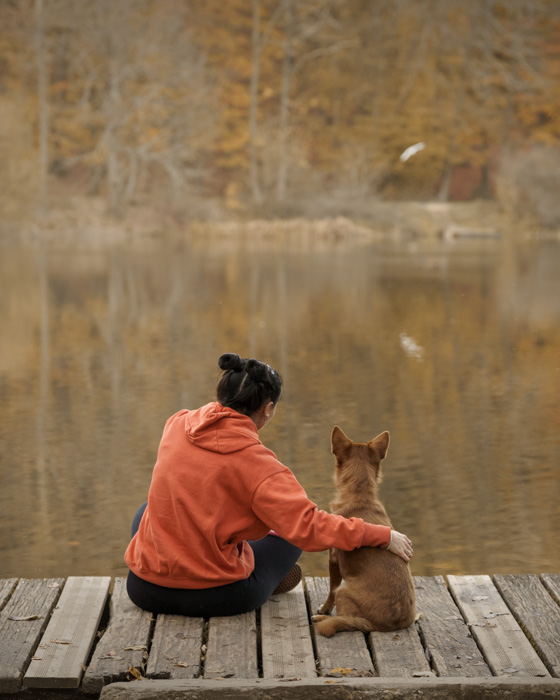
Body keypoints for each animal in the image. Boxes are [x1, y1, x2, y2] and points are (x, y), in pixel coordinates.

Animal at [316, 424, 416, 636]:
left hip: (343, 590)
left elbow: (330, 590)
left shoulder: (333, 560)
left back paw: (322, 618)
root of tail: (384, 626)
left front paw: (324, 609)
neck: (360, 495)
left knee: (344, 615)